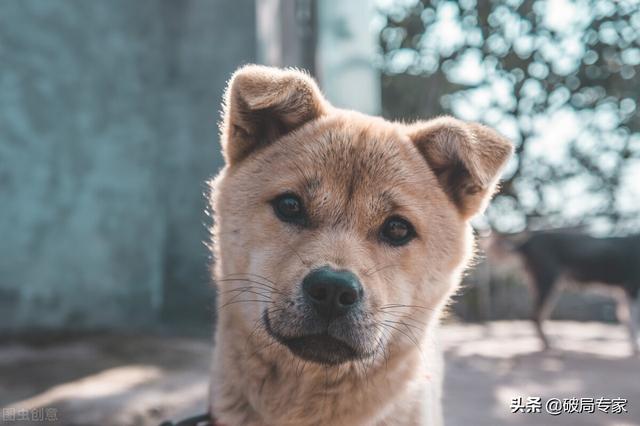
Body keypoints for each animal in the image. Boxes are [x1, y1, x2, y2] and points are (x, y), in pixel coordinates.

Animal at [488, 231, 636, 354]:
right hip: (547, 282)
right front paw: (635, 347)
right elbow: (633, 321)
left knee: (538, 317)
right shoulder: (632, 290)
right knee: (536, 317)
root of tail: (527, 242)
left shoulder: (624, 293)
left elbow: (626, 319)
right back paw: (547, 344)